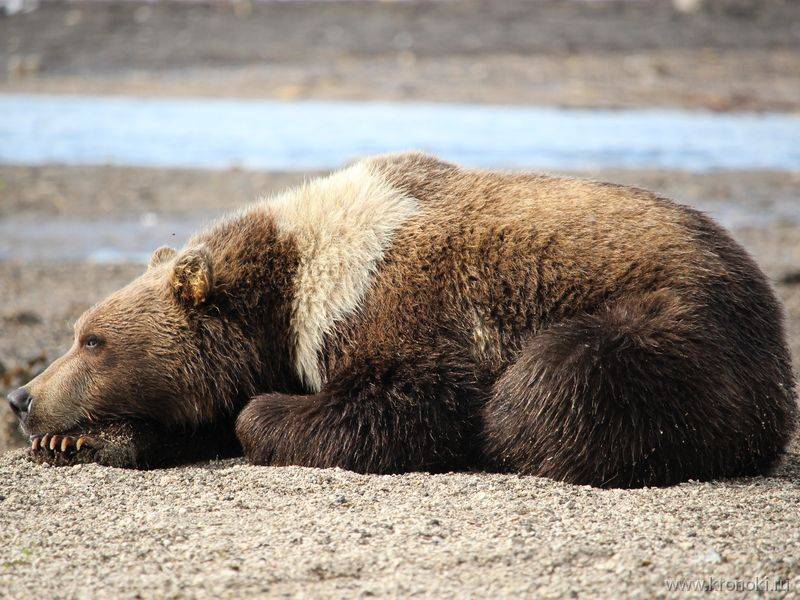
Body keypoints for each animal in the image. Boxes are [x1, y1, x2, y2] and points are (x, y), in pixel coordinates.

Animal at [6, 151, 800, 488]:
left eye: (93, 340)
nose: (21, 396)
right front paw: (82, 442)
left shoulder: (402, 305)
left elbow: (409, 403)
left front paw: (266, 416)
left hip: (676, 323)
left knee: (554, 383)